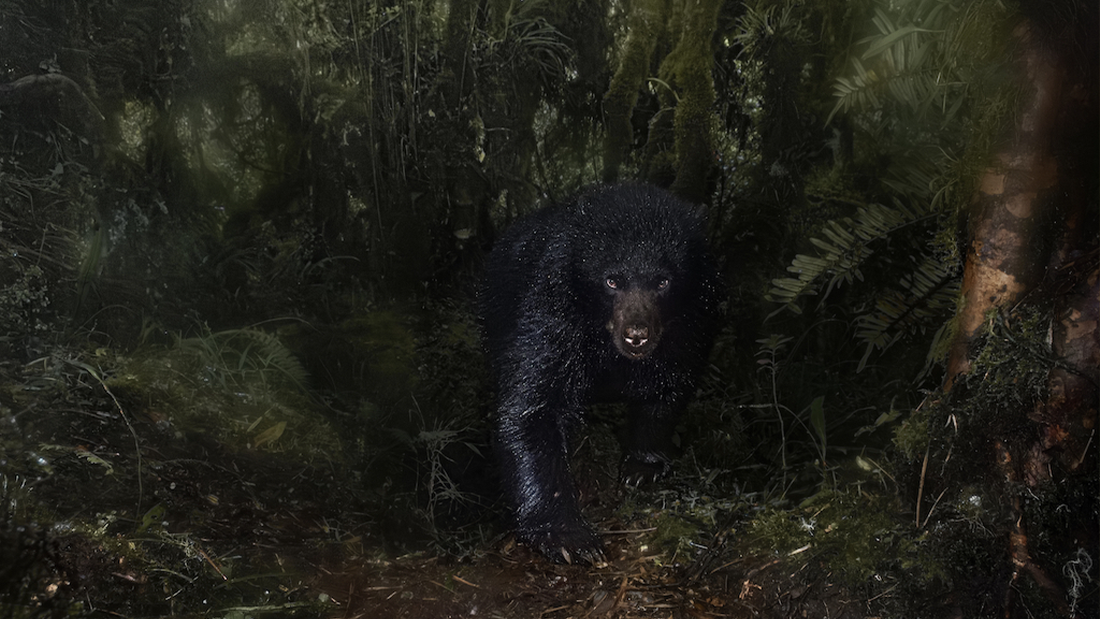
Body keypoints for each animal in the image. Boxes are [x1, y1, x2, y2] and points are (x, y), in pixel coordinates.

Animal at [481, 181, 721, 562]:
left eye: (663, 282)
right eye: (612, 281)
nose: (637, 334)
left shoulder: (693, 318)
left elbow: (670, 383)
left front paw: (642, 467)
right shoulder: (551, 311)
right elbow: (532, 406)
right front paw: (568, 536)